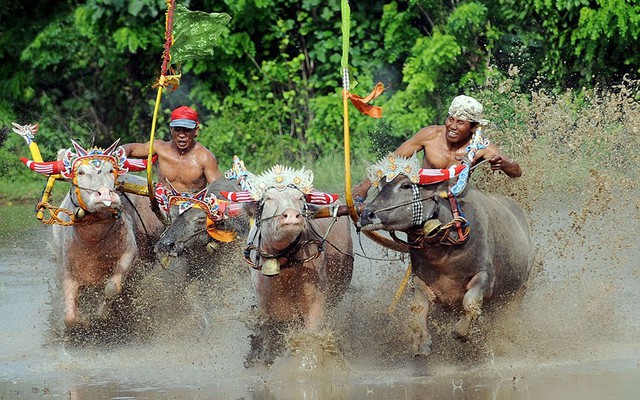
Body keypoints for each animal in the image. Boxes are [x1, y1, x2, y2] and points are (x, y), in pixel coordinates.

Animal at [222, 165, 356, 366]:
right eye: (269, 198)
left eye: (299, 198)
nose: (292, 215)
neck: (286, 264)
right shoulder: (266, 305)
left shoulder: (316, 299)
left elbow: (309, 335)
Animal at [358, 156, 532, 356]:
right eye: (380, 185)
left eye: (405, 185)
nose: (366, 214)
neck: (443, 253)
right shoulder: (419, 279)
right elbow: (419, 307)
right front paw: (422, 343)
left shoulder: (485, 277)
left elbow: (470, 302)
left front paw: (461, 332)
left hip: (519, 291)